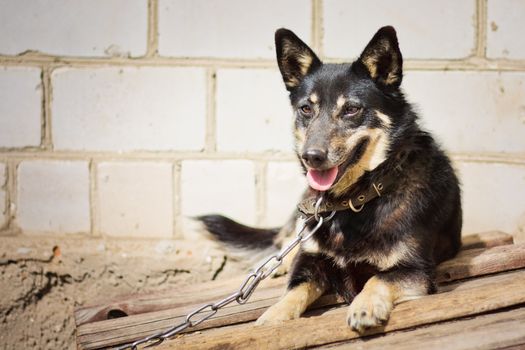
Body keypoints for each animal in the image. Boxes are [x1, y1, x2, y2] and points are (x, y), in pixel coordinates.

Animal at [199, 26, 460, 332]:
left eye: (351, 109)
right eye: (306, 109)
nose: (310, 156)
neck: (354, 201)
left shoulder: (416, 269)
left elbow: (378, 278)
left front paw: (364, 306)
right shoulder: (310, 260)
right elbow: (292, 291)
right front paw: (271, 318)